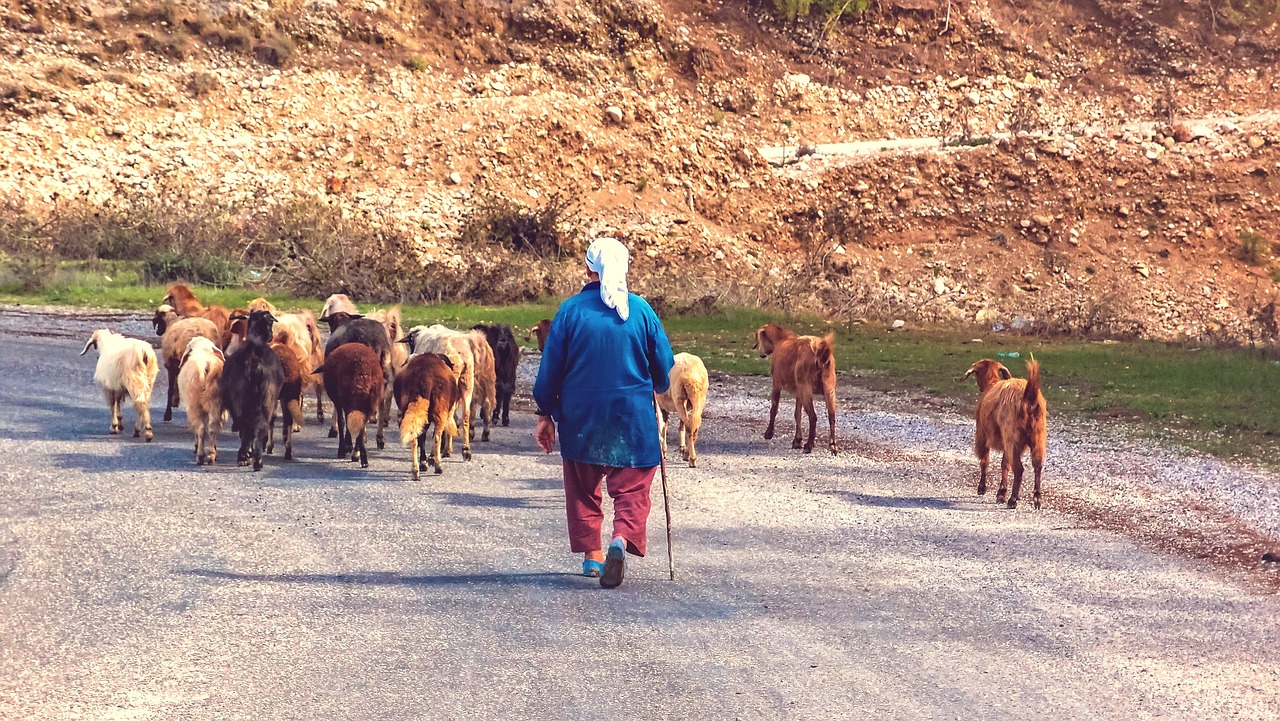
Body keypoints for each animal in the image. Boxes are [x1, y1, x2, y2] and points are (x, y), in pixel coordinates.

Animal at [176, 335, 226, 466]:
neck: (203, 349)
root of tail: (207, 364)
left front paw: (196, 445)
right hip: (215, 401)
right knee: (213, 427)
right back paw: (212, 455)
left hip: (195, 402)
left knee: (201, 428)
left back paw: (200, 455)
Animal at [224, 309, 286, 473]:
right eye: (270, 323)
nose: (271, 335)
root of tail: (254, 361)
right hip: (267, 398)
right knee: (260, 426)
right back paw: (257, 460)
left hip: (239, 398)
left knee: (246, 426)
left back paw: (244, 456)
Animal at [747, 324, 839, 453]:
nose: (759, 352)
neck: (781, 339)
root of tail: (820, 352)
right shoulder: (798, 393)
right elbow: (797, 414)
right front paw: (797, 440)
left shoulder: (776, 384)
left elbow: (774, 409)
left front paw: (769, 433)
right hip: (829, 390)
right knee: (832, 417)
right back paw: (833, 445)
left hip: (806, 388)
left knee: (813, 417)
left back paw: (809, 445)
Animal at [972, 358, 1044, 509]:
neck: (991, 383)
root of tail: (1029, 396)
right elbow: (1004, 463)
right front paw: (1001, 492)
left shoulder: (982, 434)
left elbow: (985, 461)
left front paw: (982, 488)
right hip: (1037, 436)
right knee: (1037, 465)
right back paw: (1037, 499)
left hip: (1012, 437)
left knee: (1019, 469)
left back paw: (1013, 500)